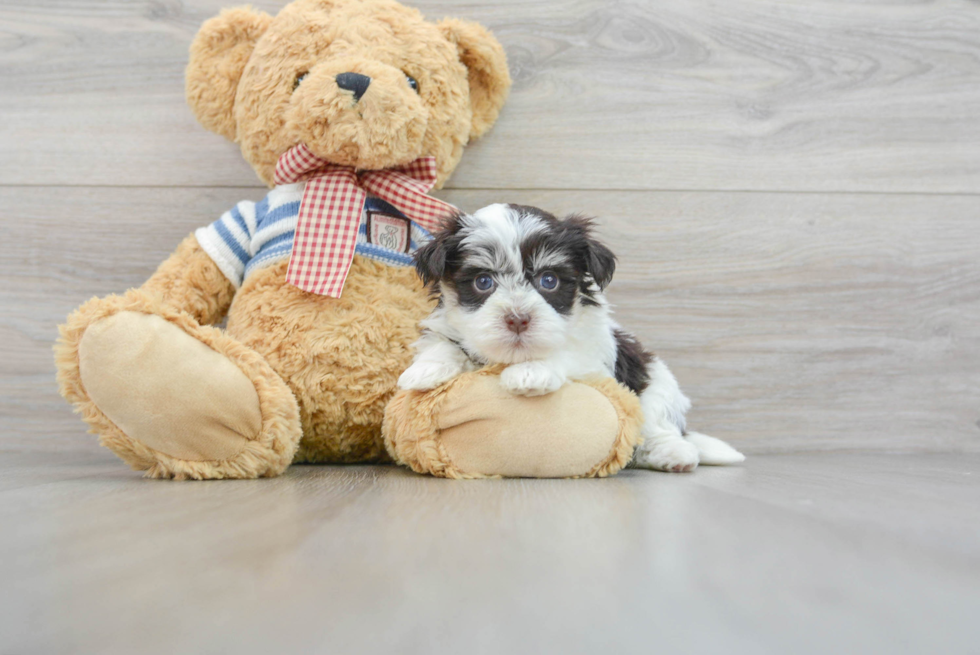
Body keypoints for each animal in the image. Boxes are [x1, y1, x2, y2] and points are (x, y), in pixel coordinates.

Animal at [398, 205, 744, 472]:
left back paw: (673, 454)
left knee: (660, 424)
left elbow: (566, 351)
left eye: (548, 280)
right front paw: (424, 370)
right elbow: (442, 343)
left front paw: (530, 372)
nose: (517, 318)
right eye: (483, 282)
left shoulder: (594, 355)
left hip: (656, 383)